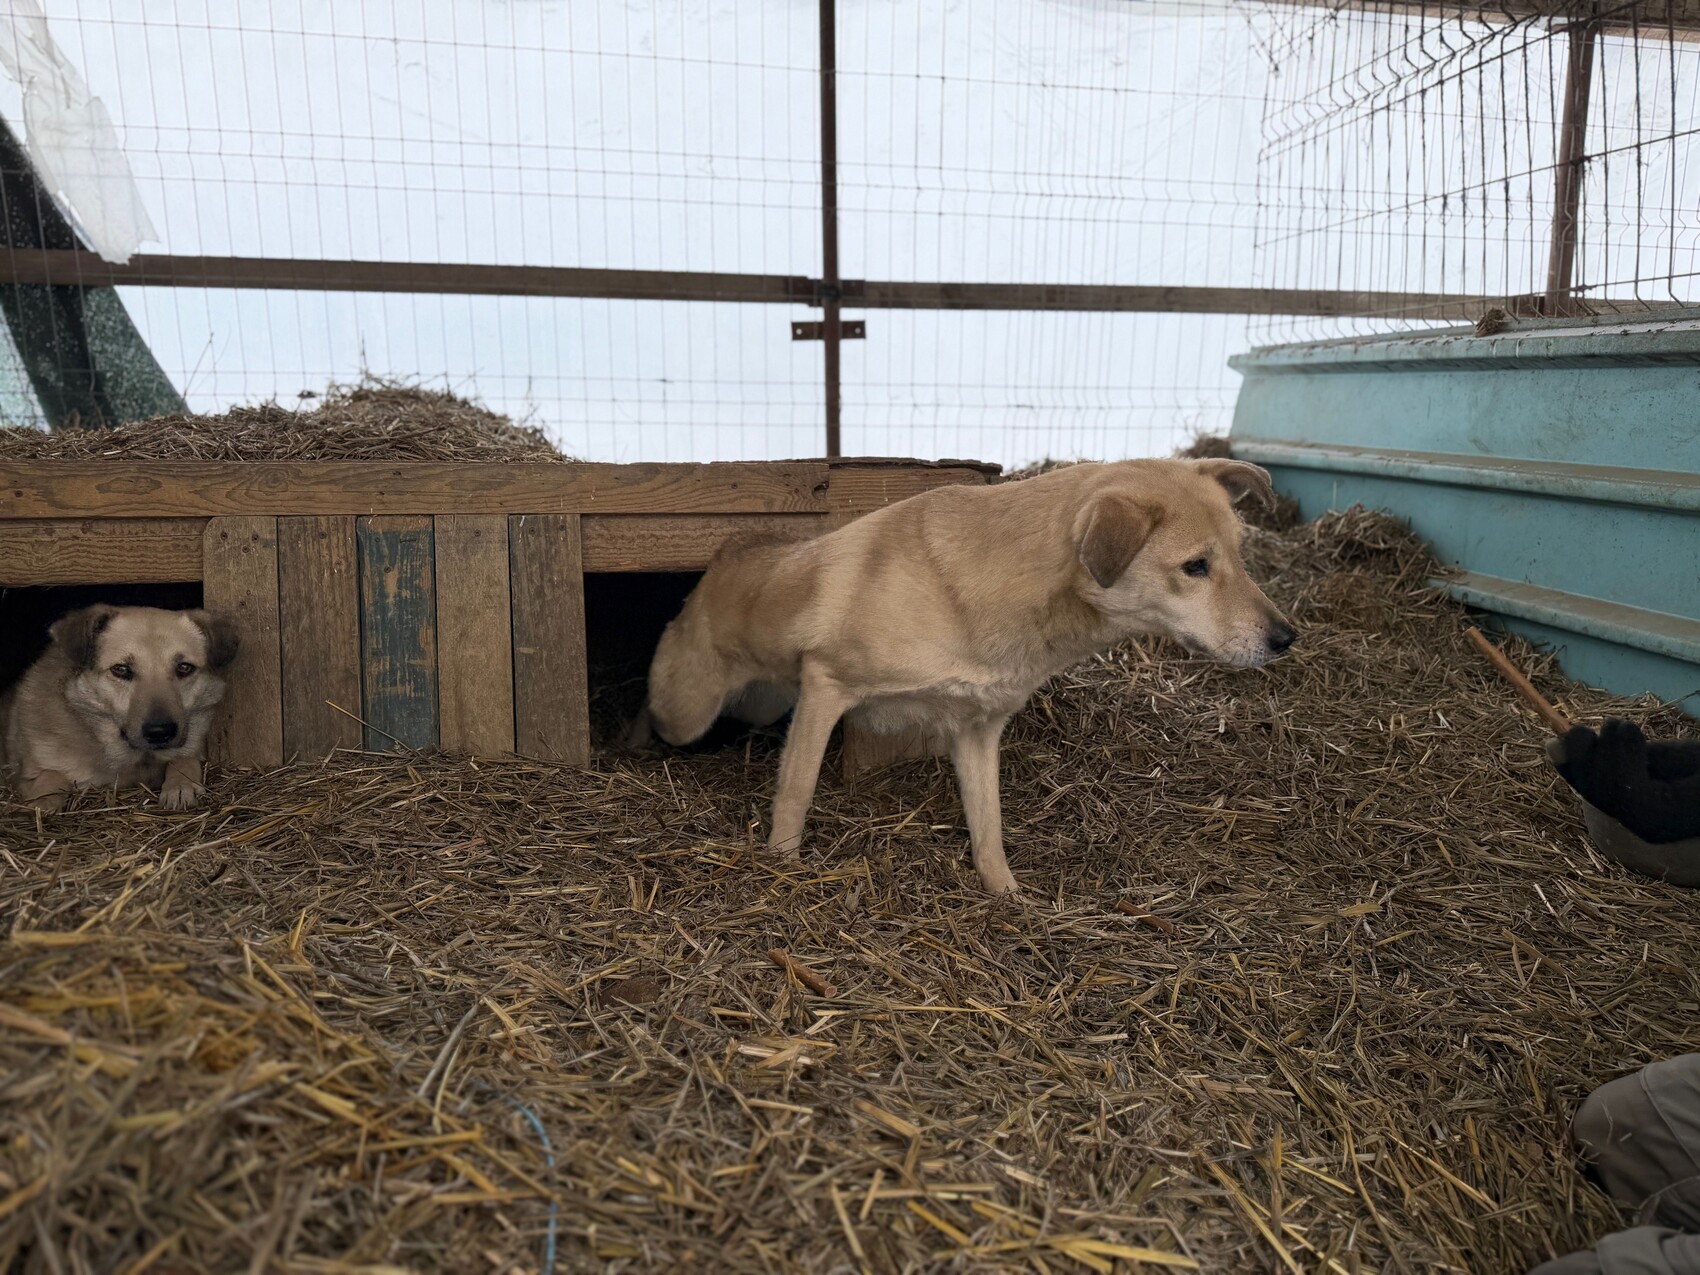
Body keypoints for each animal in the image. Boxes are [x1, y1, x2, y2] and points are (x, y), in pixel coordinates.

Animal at [1, 605, 239, 813]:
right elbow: (50, 774)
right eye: (121, 669)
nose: (160, 732)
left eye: (184, 668)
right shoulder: (26, 773)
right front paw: (42, 801)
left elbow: (184, 759)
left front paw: (180, 785)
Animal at [629, 457, 1296, 894]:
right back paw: (632, 743)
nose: (1286, 638)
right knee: (654, 710)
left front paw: (1005, 894)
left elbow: (989, 826)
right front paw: (781, 866)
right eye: (1196, 566)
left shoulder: (978, 730)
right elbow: (796, 792)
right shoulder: (826, 685)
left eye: (1242, 555)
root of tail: (725, 555)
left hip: (762, 703)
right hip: (690, 713)